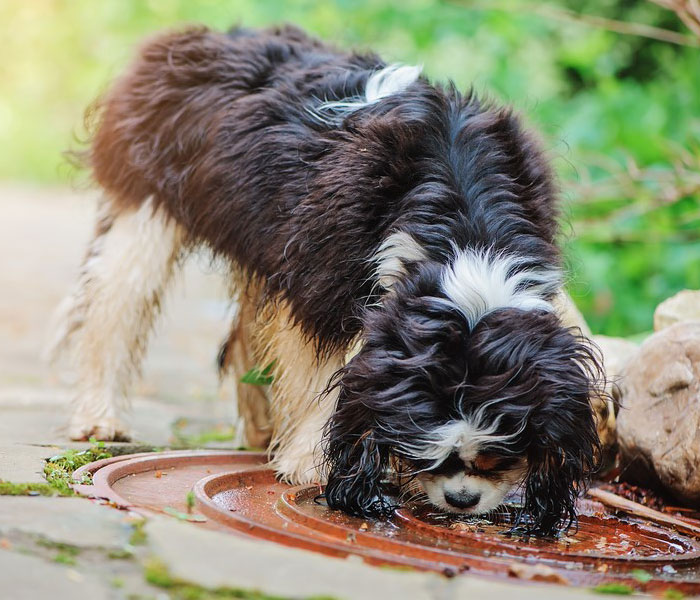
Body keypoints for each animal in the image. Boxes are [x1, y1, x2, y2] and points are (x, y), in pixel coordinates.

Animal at [50, 25, 608, 536]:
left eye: (501, 456)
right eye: (432, 456)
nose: (462, 500)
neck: (465, 226)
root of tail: (199, 36)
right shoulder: (320, 276)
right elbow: (321, 370)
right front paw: (310, 464)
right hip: (147, 204)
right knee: (114, 301)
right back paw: (100, 416)